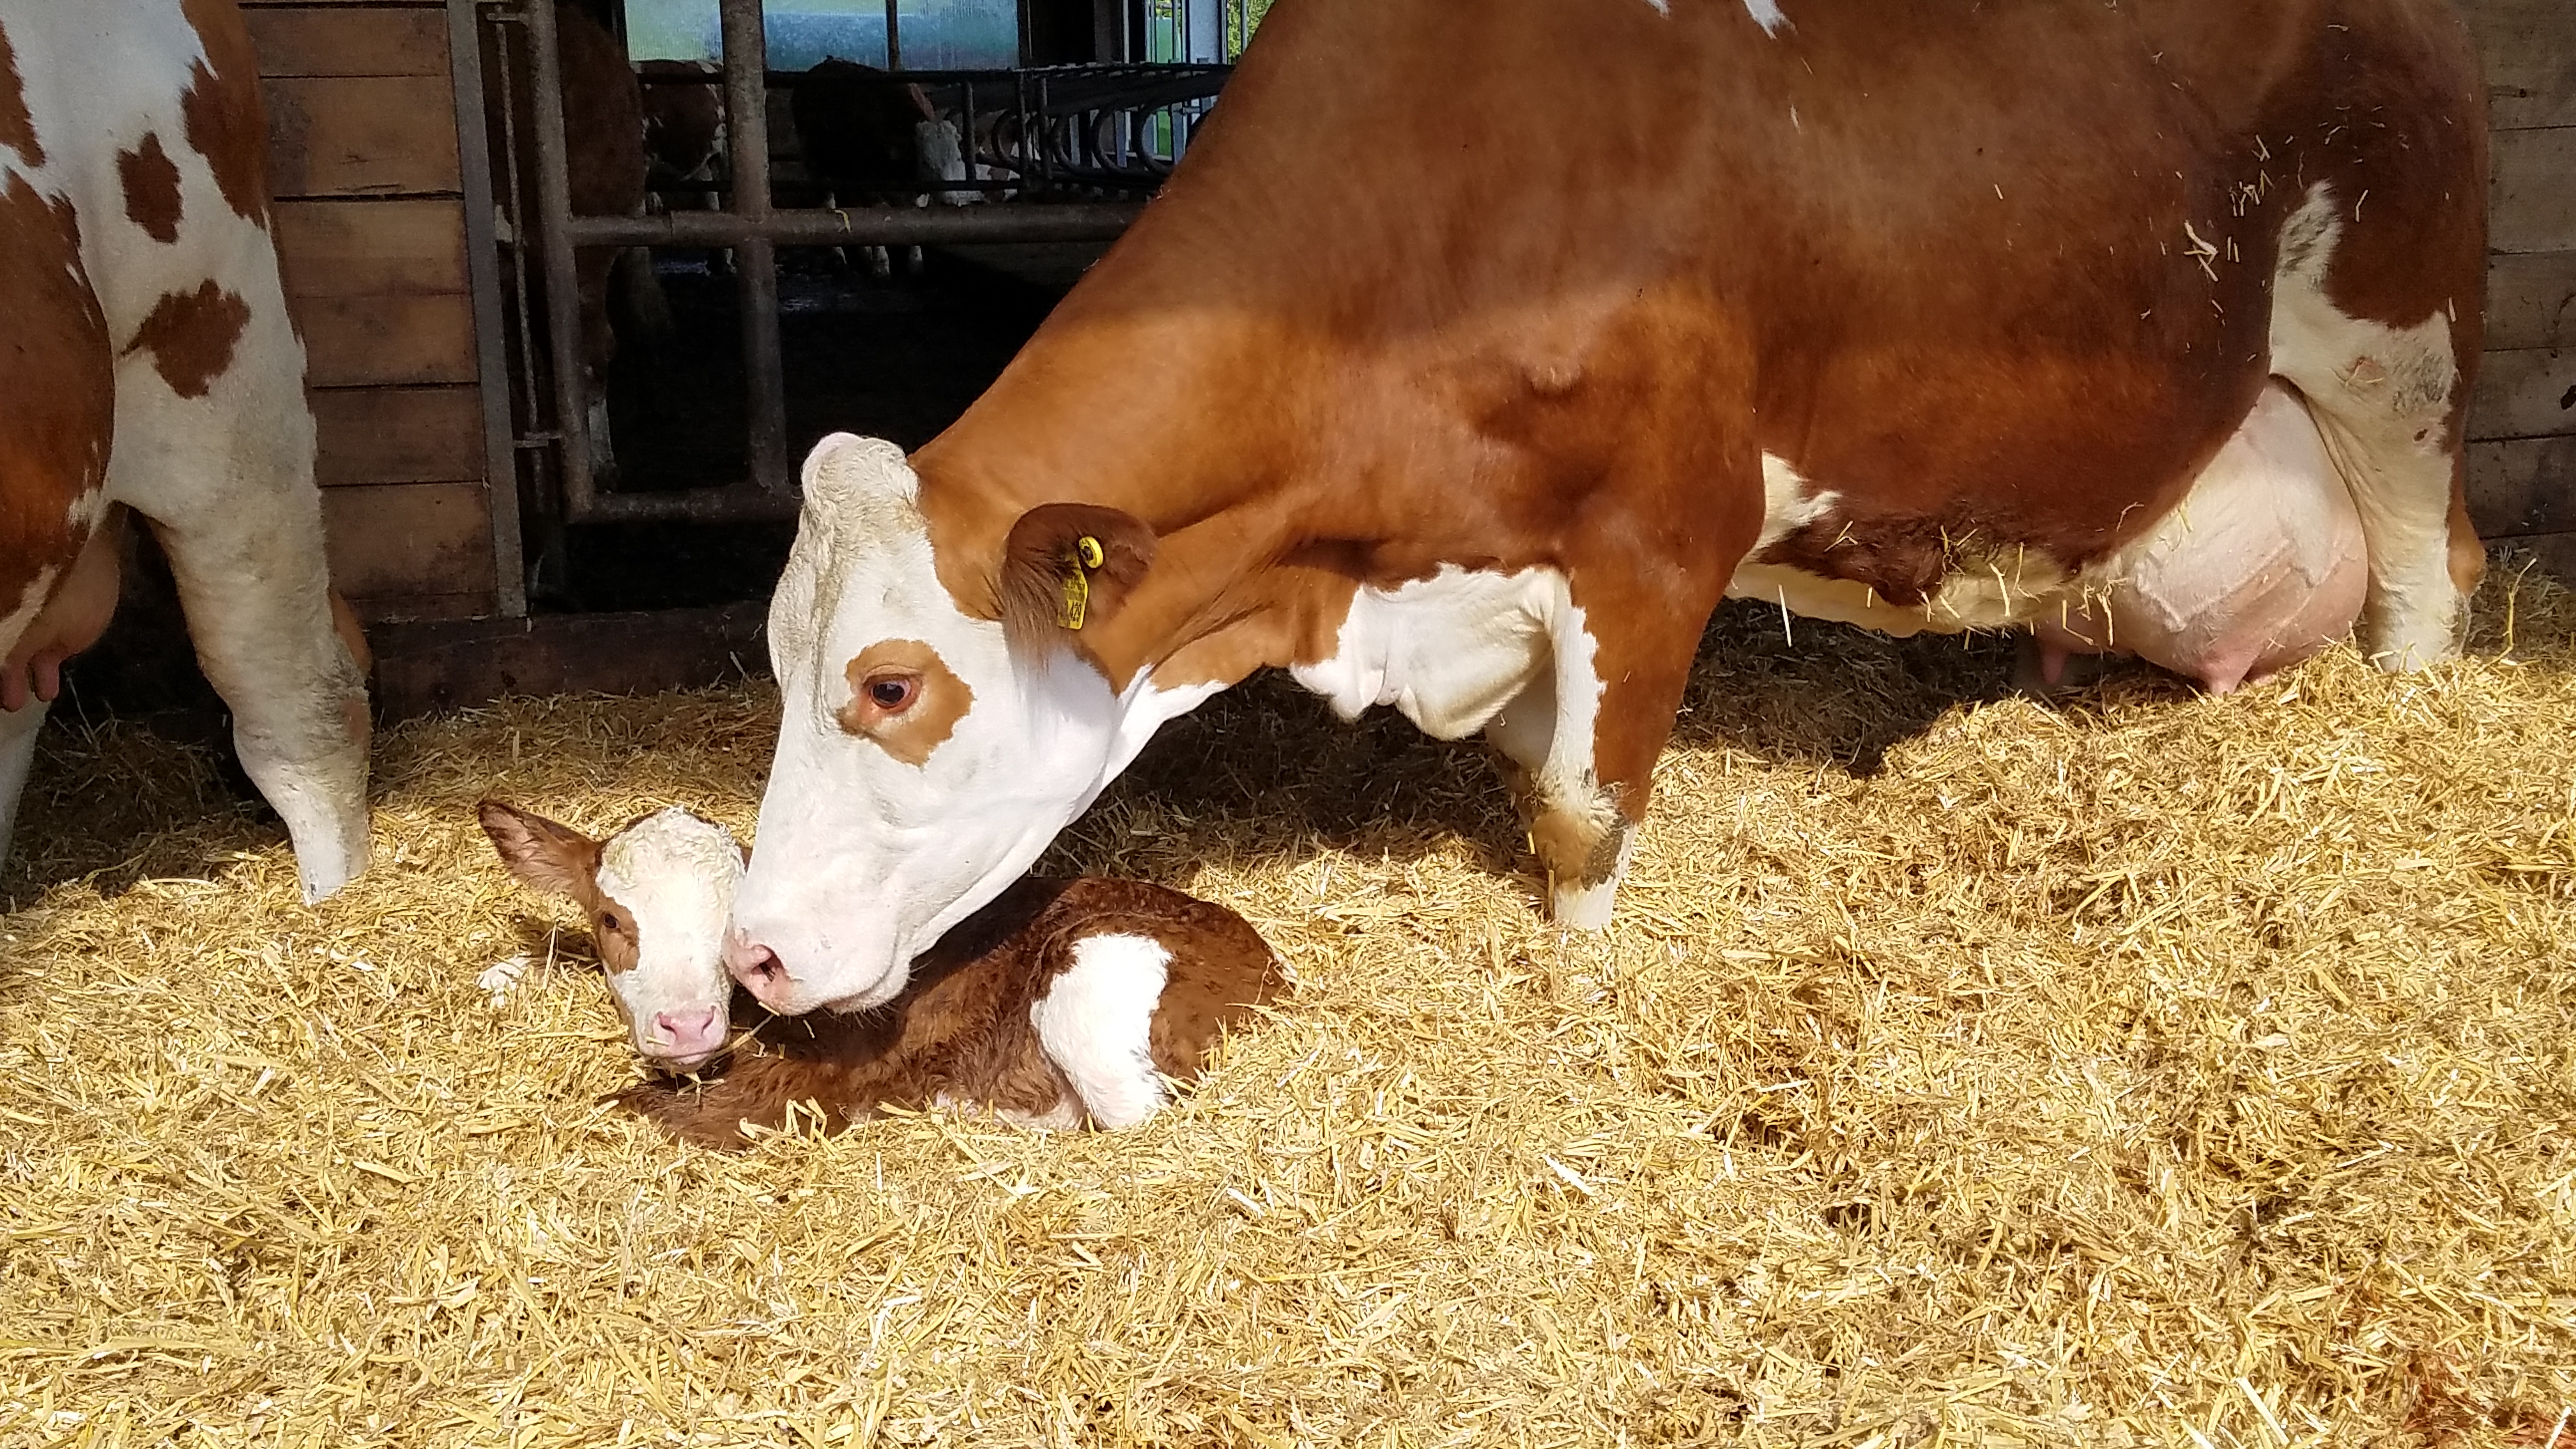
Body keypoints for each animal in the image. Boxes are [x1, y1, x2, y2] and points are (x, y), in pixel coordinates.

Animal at [721, 0, 2489, 1016]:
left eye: (891, 685)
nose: (752, 954)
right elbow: (1532, 781)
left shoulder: (1658, 539)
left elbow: (1584, 809)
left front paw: (1581, 1005)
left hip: (2396, 355)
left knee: (2430, 577)